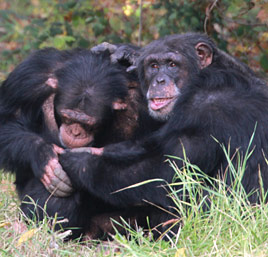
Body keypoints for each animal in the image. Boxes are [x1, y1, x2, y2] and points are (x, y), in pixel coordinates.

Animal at [0, 47, 159, 238]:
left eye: (88, 124)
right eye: (67, 117)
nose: (75, 132)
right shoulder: (28, 77)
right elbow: (7, 120)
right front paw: (42, 154)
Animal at [59, 33, 268, 237]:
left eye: (172, 65)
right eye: (154, 66)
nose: (159, 80)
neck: (200, 80)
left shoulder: (201, 111)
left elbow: (161, 172)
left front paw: (78, 162)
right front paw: (127, 54)